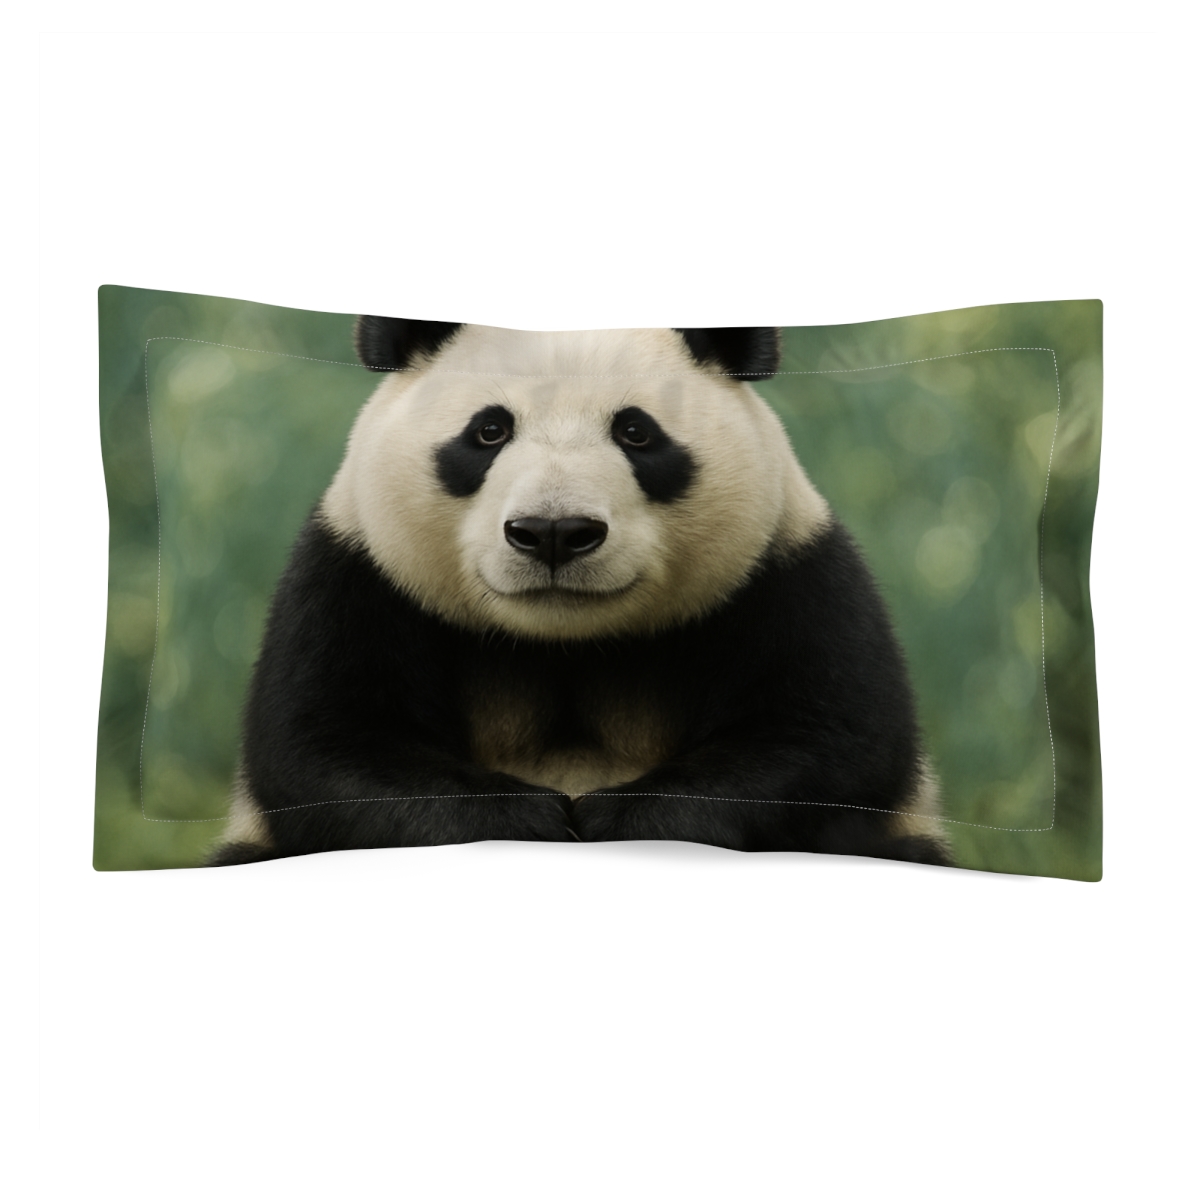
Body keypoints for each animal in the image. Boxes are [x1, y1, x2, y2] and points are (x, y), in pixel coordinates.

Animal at [209, 319, 951, 867]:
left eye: (636, 432)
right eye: (489, 430)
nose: (554, 533)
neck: (565, 644)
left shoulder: (786, 575)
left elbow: (828, 742)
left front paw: (610, 815)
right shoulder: (358, 577)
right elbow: (322, 749)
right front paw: (529, 816)